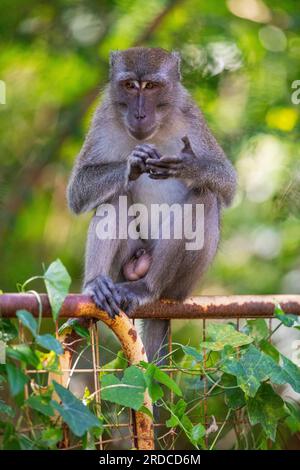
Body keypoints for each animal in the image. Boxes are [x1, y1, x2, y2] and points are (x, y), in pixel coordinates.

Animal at [67, 47, 237, 364]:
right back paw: (97, 284)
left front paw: (190, 165)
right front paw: (133, 164)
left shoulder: (190, 114)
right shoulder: (103, 115)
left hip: (183, 284)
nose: (139, 113)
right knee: (115, 196)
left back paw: (147, 288)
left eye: (152, 87)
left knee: (204, 197)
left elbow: (227, 183)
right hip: (123, 268)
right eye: (130, 85)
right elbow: (78, 192)